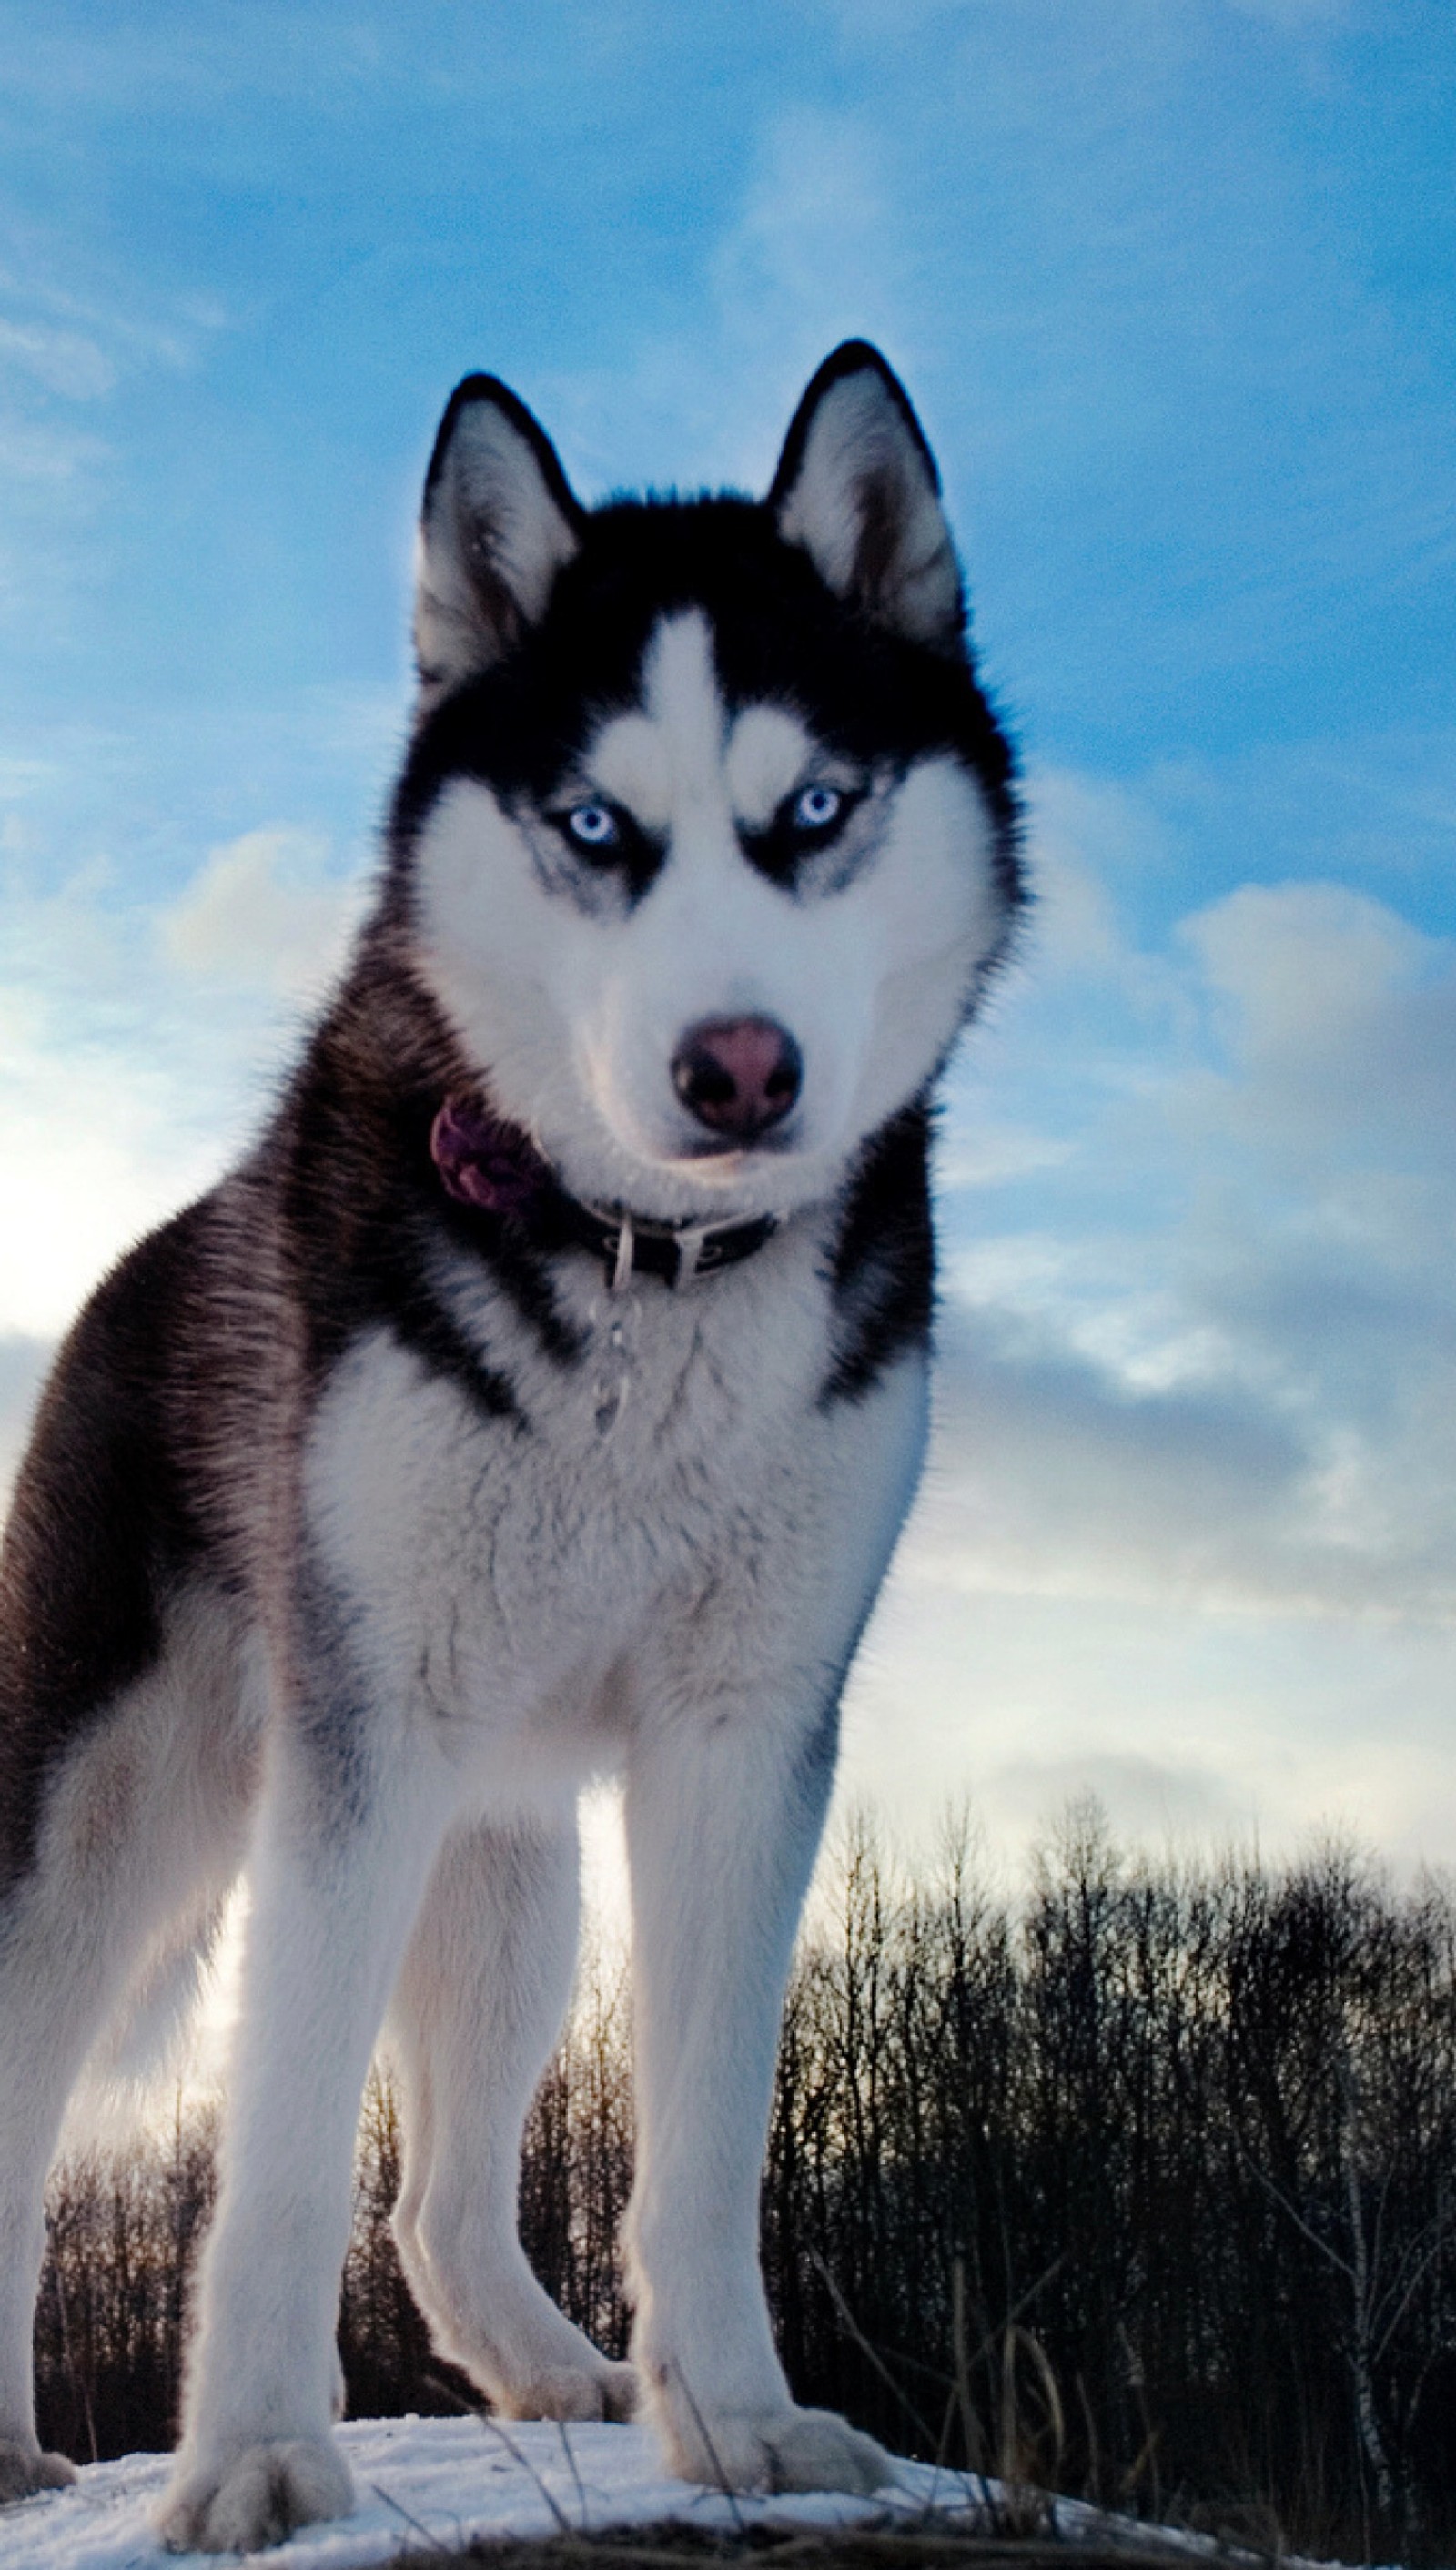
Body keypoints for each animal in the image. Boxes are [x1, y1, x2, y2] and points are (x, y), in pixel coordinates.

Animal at [0, 347, 1022, 2549]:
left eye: (815, 809)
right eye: (593, 824)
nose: (739, 1067)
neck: (640, 1270)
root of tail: (137, 1257)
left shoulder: (742, 1734)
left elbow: (705, 2136)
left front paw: (736, 2423)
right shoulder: (357, 1743)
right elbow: (277, 2144)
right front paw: (255, 2455)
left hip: (509, 1862)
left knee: (440, 2193)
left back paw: (550, 2368)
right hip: (114, 1822)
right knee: (33, 2105)